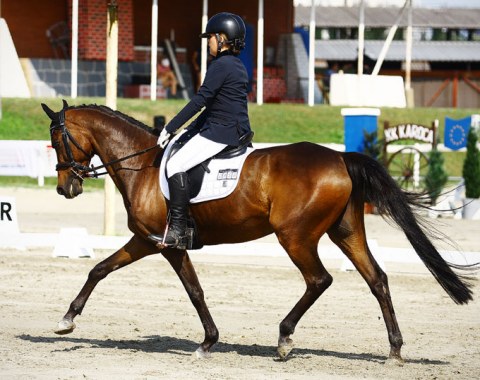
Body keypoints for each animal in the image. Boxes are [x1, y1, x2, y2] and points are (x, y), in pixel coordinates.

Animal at [42, 100, 476, 362]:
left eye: (57, 140)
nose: (66, 188)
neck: (144, 166)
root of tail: (339, 158)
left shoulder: (166, 244)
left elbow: (192, 290)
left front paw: (207, 342)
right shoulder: (146, 241)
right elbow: (100, 269)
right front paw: (67, 319)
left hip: (295, 237)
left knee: (319, 279)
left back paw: (284, 340)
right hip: (346, 232)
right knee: (378, 280)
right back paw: (394, 350)